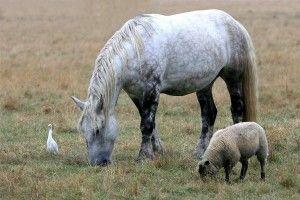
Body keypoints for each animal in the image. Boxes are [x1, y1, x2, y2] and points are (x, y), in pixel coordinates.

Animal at [71, 9, 258, 166]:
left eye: (97, 129)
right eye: (83, 132)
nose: (98, 163)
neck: (136, 49)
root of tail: (235, 23)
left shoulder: (151, 90)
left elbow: (146, 124)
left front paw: (143, 156)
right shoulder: (136, 94)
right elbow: (149, 122)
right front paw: (157, 150)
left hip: (233, 79)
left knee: (237, 109)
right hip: (205, 84)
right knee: (209, 114)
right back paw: (200, 152)